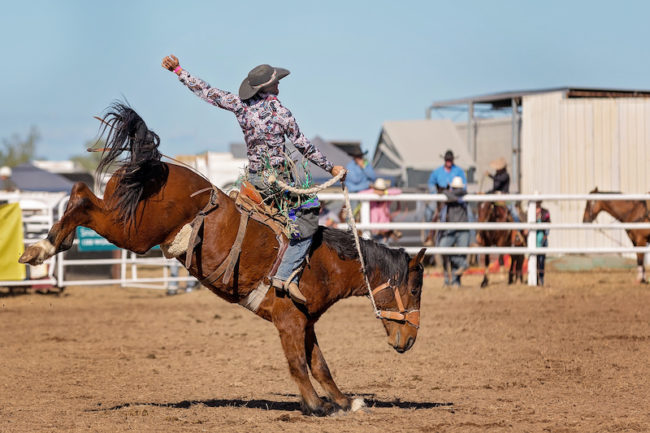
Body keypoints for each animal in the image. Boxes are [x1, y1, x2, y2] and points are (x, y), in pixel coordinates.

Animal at [19, 103, 427, 416]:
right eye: (415, 289)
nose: (409, 340)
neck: (322, 261)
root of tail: (155, 164)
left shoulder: (306, 321)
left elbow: (320, 365)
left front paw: (345, 401)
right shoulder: (289, 320)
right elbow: (298, 364)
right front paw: (315, 405)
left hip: (126, 217)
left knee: (81, 190)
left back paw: (47, 244)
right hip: (134, 231)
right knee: (83, 199)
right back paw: (42, 247)